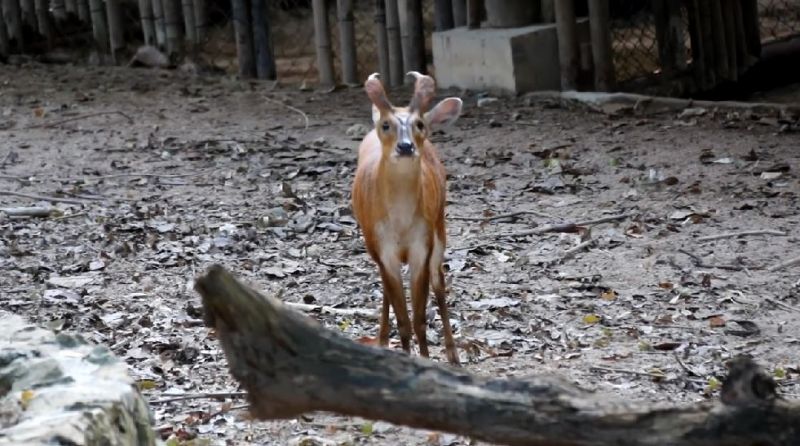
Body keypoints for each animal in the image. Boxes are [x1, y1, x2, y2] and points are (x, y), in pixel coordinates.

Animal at [351, 71, 462, 365]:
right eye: (386, 125)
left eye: (419, 124)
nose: (405, 146)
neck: (400, 223)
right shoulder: (383, 247)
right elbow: (403, 318)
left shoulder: (421, 245)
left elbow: (419, 318)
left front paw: (425, 359)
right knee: (386, 292)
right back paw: (381, 339)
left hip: (439, 227)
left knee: (439, 283)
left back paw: (453, 355)